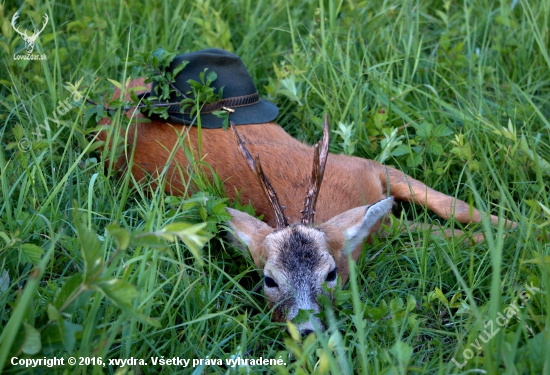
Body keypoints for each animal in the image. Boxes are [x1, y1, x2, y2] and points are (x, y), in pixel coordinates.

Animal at [97, 76, 516, 334]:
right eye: (268, 280)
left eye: (329, 273)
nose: (308, 331)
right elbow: (445, 232)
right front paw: (509, 237)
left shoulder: (372, 168)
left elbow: (456, 208)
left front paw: (518, 227)